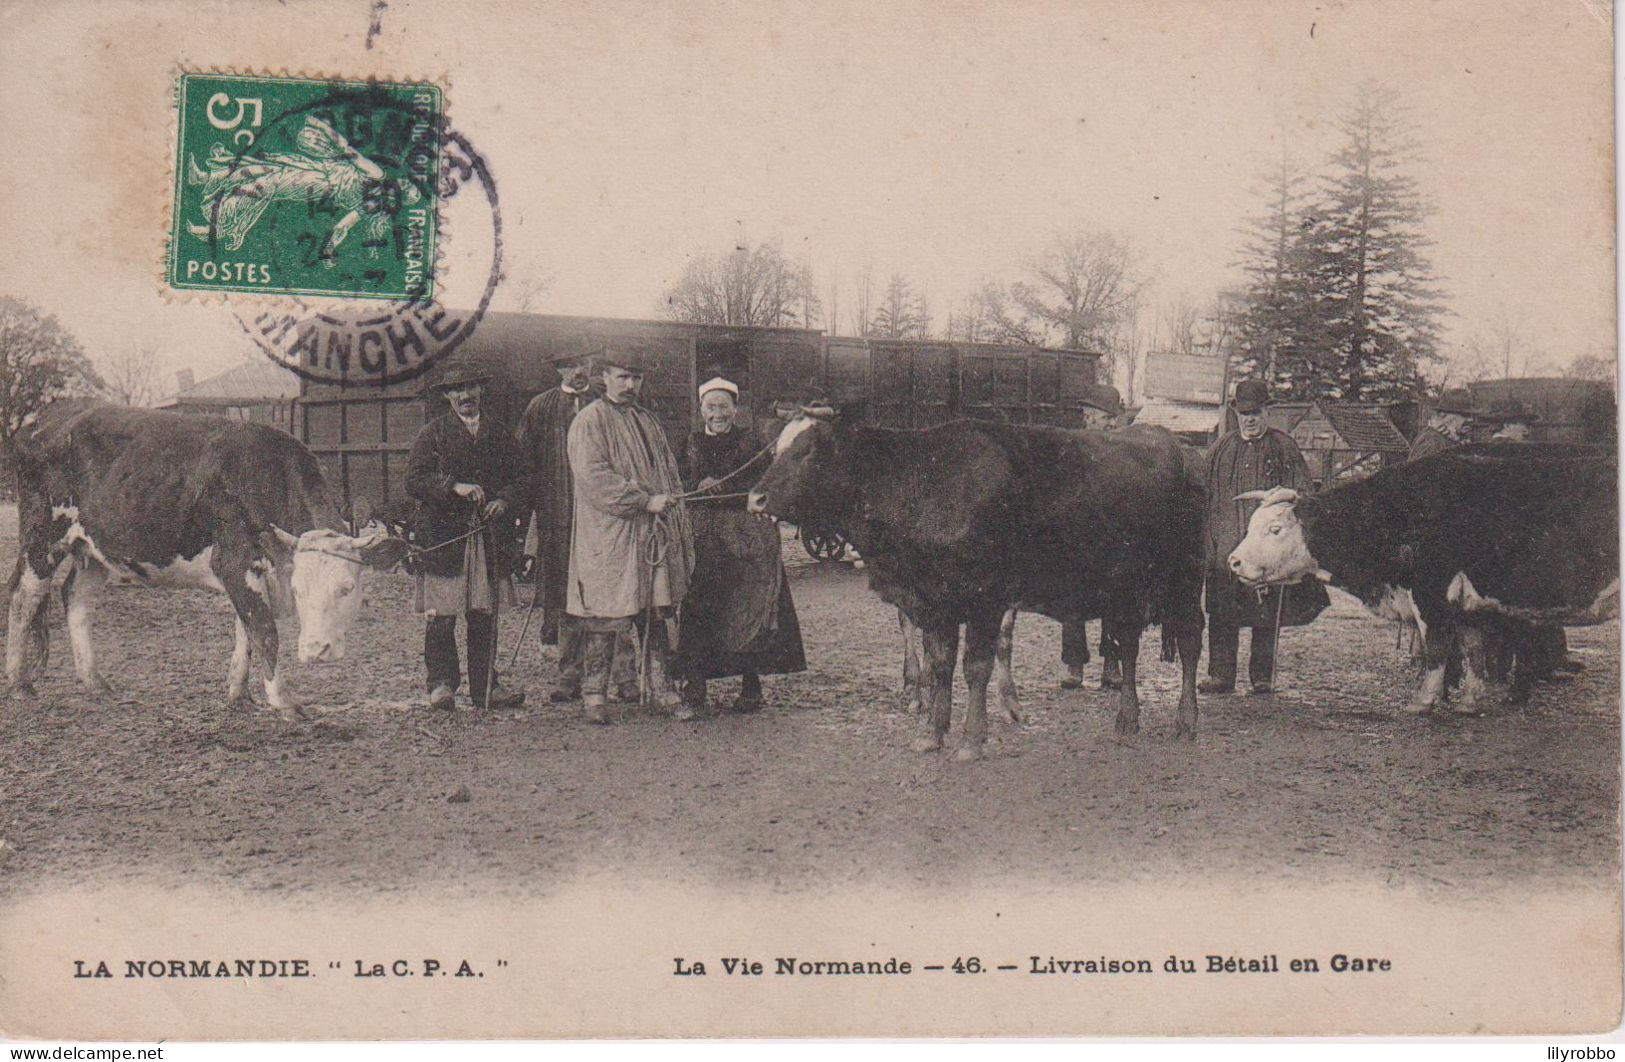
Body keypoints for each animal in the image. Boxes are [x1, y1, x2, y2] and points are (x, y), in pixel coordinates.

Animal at [11, 399, 412, 714]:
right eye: (299, 591)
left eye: (347, 588)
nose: (316, 651)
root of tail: (47, 417)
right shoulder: (234, 563)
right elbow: (264, 630)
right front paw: (282, 701)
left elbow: (245, 631)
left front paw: (239, 694)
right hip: (41, 535)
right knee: (23, 596)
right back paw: (20, 684)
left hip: (95, 547)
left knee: (75, 597)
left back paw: (95, 682)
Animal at [1222, 441, 1618, 714]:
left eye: (1275, 529)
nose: (1234, 561)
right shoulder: (1467, 607)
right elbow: (1473, 651)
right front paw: (1470, 702)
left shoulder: (1430, 593)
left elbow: (1436, 651)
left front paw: (1423, 701)